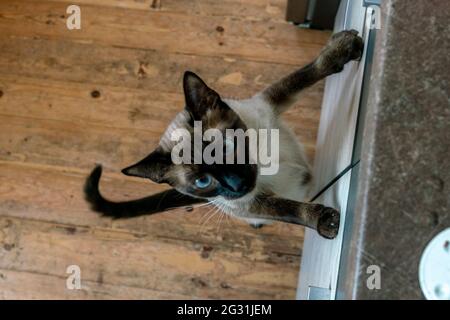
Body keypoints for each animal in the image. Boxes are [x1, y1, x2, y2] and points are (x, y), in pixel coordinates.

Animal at [86, 30, 364, 239]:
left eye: (225, 148)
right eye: (202, 182)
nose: (237, 184)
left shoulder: (270, 101)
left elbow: (303, 75)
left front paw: (344, 49)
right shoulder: (251, 204)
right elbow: (288, 209)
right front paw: (324, 221)